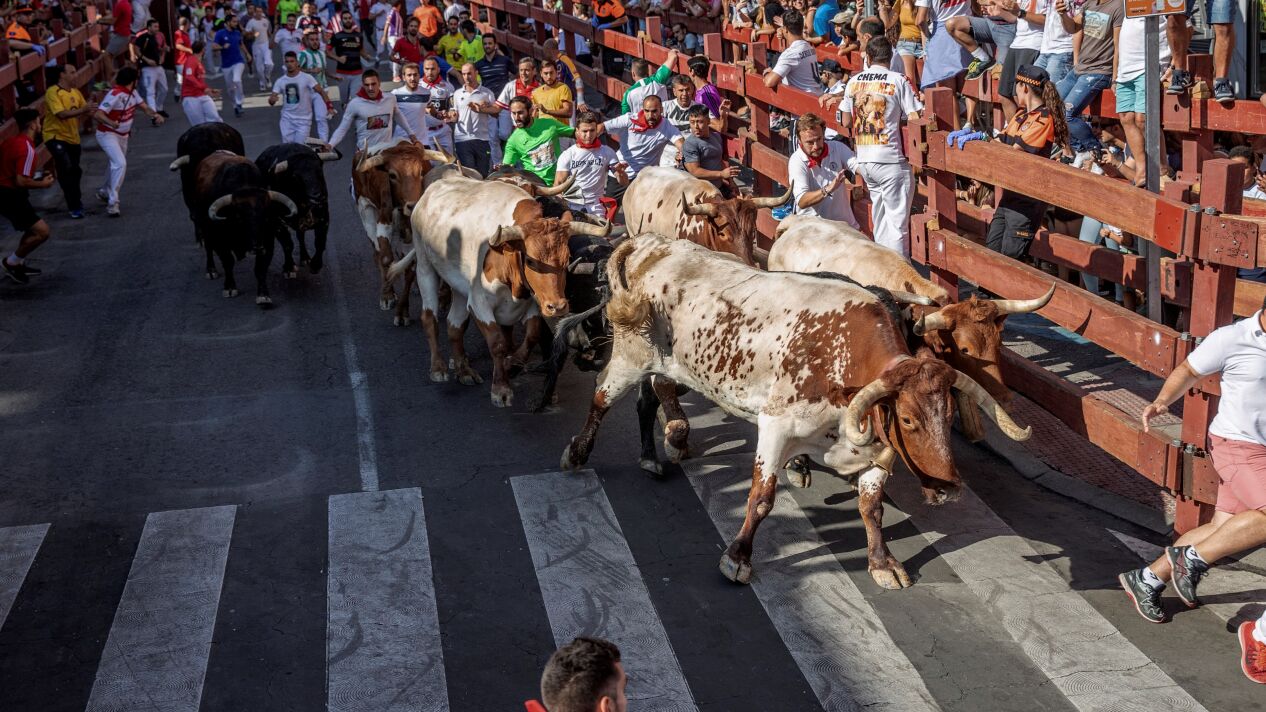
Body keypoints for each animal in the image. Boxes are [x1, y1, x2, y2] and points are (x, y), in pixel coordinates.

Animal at [195, 151, 298, 306]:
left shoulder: (267, 241)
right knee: (208, 247)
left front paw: (263, 295)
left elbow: (260, 268)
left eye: (266, 217)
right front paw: (229, 287)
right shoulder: (219, 240)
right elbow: (228, 262)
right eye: (239, 217)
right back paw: (211, 270)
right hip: (204, 226)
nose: (257, 247)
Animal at [255, 142, 338, 277]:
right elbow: (287, 244)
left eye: (319, 170)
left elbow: (320, 243)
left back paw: (305, 258)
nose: (317, 197)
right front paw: (289, 267)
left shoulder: (324, 218)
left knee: (301, 236)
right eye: (295, 176)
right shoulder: (276, 222)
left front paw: (315, 265)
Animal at [352, 141, 454, 322]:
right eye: (392, 175)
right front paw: (387, 296)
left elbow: (411, 268)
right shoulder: (383, 222)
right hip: (365, 208)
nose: (412, 205)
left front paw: (402, 310)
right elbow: (386, 258)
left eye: (420, 172)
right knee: (377, 253)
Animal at [385, 175, 609, 407]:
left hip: (459, 286)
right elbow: (498, 344)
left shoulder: (533, 302)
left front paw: (513, 364)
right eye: (530, 260)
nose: (558, 306)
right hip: (425, 265)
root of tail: (431, 190)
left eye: (567, 258)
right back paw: (438, 366)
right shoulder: (479, 303)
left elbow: (532, 335)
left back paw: (464, 370)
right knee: (429, 318)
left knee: (454, 325)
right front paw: (501, 388)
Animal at [560, 235, 1032, 588]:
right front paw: (738, 556)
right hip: (630, 356)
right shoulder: (777, 427)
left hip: (658, 363)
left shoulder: (877, 450)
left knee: (648, 399)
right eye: (910, 420)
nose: (949, 488)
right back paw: (580, 452)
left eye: (949, 414)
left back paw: (651, 454)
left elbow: (872, 508)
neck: (843, 356)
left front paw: (882, 562)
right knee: (602, 400)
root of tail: (648, 244)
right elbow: (761, 497)